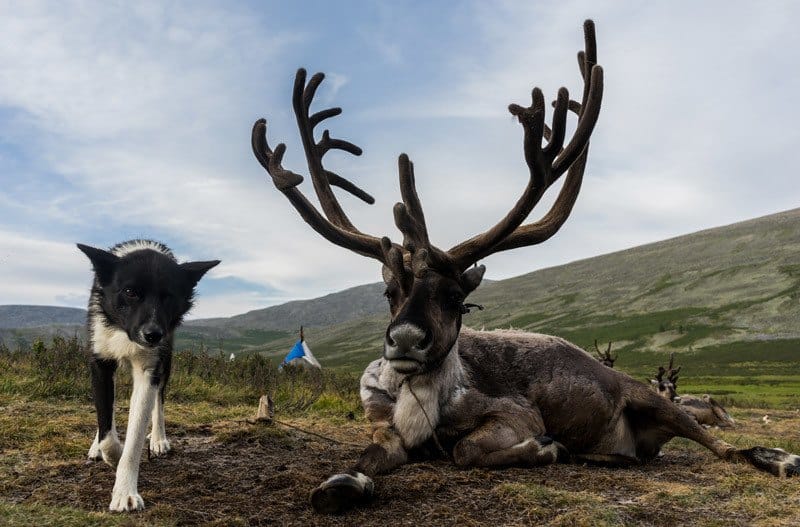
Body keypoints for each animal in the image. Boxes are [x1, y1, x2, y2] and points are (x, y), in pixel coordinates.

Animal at [77, 239, 219, 512]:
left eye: (168, 296)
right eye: (130, 292)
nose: (152, 335)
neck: (124, 332)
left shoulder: (150, 370)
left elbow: (135, 438)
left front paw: (124, 491)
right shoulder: (100, 364)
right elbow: (106, 427)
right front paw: (108, 452)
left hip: (167, 361)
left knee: (159, 402)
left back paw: (159, 439)